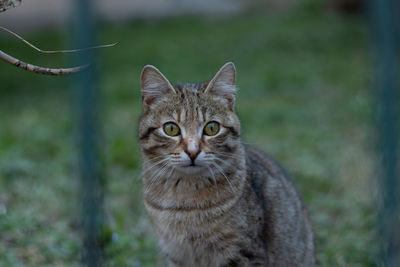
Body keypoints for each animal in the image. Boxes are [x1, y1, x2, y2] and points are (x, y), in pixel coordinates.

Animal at [139, 61, 318, 266]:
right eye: (171, 128)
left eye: (212, 128)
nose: (193, 151)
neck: (184, 200)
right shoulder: (176, 254)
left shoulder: (242, 252)